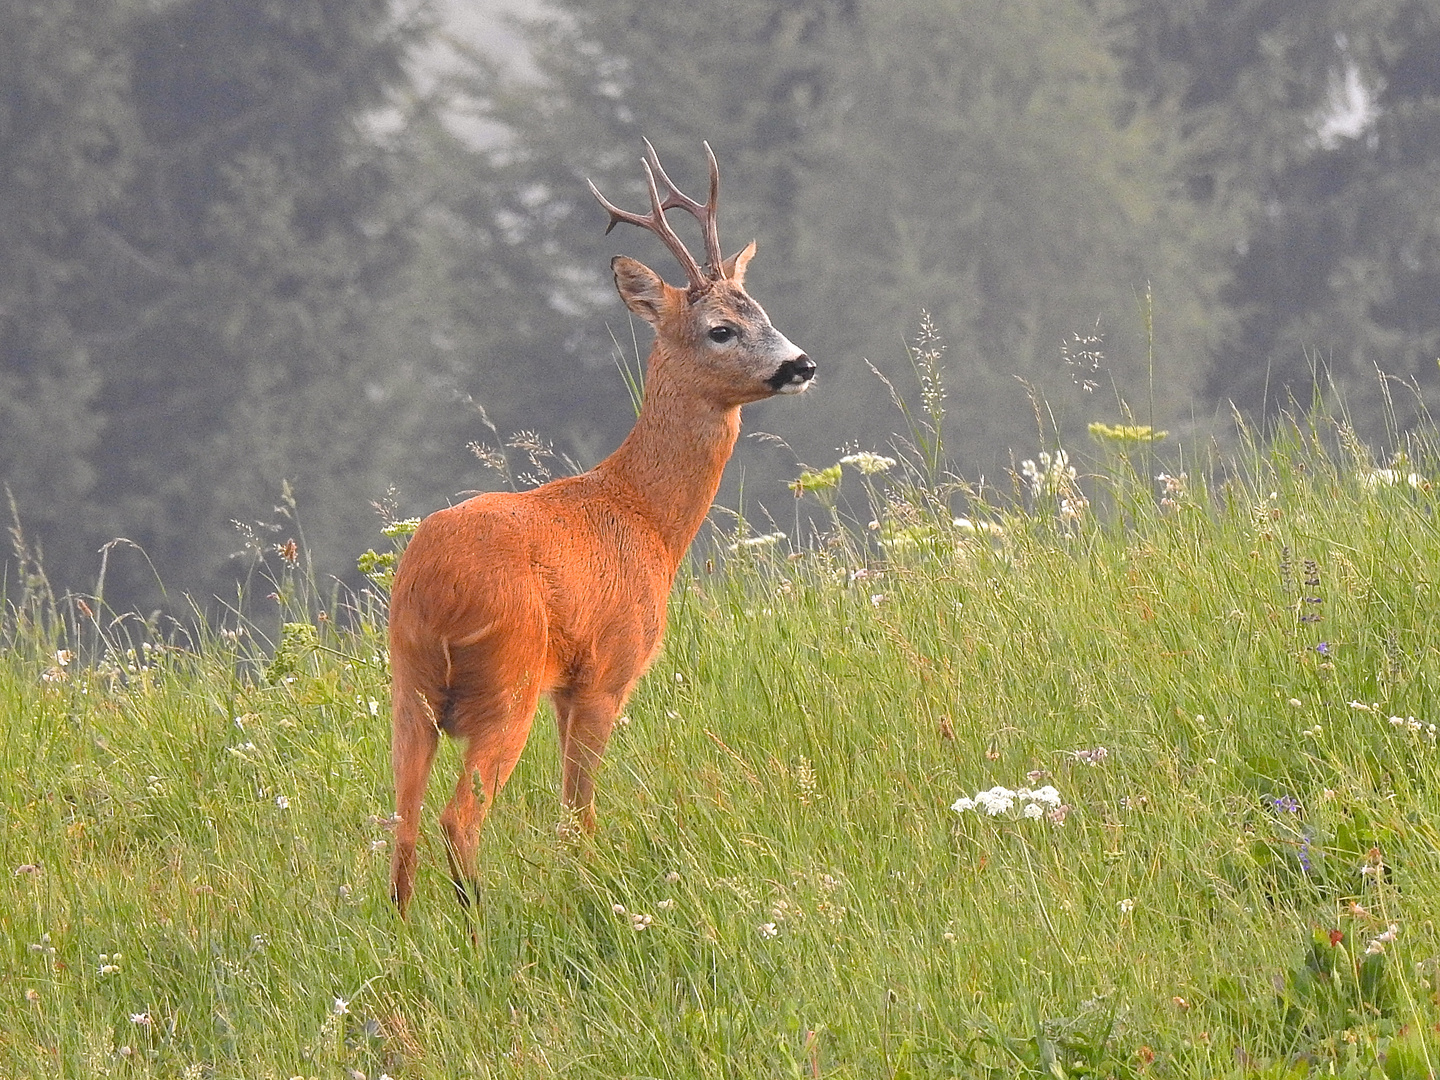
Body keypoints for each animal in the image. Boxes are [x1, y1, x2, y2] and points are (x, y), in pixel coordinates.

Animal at [385, 137, 812, 915]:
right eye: (721, 329)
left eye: (762, 309)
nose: (801, 363)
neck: (645, 517)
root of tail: (434, 592)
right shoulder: (606, 672)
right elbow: (578, 811)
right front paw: (590, 887)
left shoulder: (566, 688)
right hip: (508, 678)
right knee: (459, 815)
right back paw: (478, 922)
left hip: (410, 685)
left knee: (400, 820)